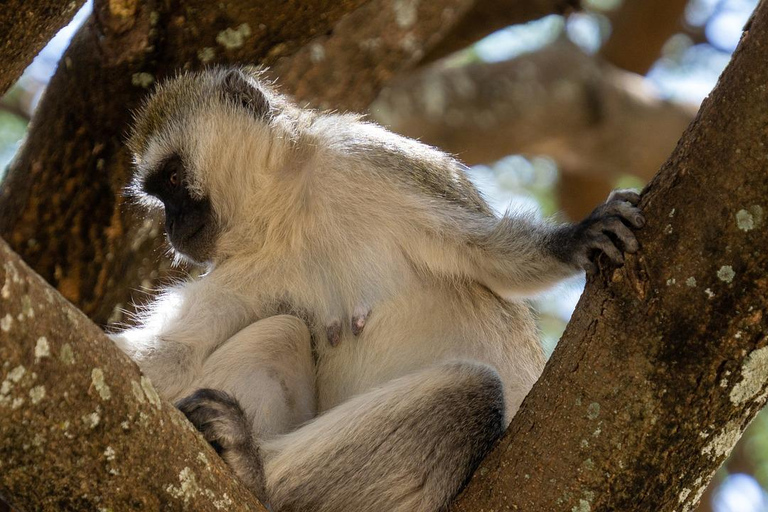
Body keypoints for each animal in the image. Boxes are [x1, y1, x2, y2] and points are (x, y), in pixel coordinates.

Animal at [111, 68, 644, 512]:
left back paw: (253, 472)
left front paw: (571, 241)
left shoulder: (370, 158)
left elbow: (487, 253)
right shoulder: (247, 266)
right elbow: (175, 352)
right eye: (159, 195)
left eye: (174, 177)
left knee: (474, 392)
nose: (172, 227)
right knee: (281, 330)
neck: (291, 205)